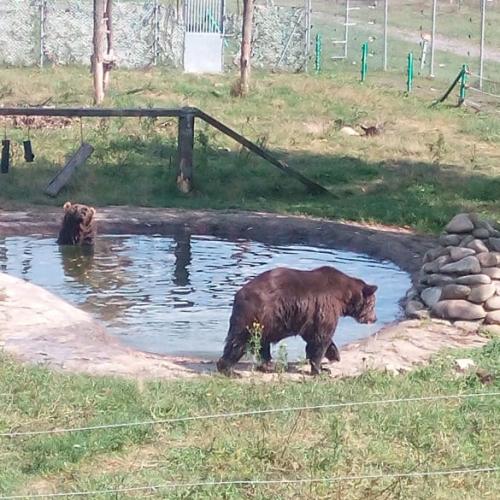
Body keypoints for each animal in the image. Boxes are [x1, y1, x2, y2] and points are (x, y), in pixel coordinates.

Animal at [217, 266, 376, 376]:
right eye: (373, 304)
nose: (374, 318)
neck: (344, 296)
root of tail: (238, 294)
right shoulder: (326, 306)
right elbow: (321, 338)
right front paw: (321, 370)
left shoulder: (310, 317)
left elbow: (315, 337)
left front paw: (333, 355)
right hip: (258, 313)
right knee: (240, 340)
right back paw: (228, 369)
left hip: (266, 321)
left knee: (261, 342)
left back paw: (268, 365)